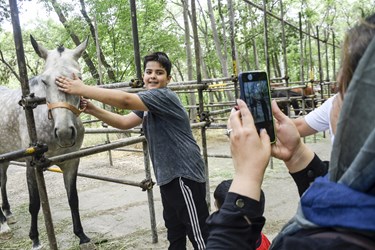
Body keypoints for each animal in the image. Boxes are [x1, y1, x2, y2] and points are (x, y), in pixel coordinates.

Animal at [0, 36, 93, 249]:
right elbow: (35, 203)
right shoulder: (31, 164)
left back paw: (8, 215)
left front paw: (81, 235)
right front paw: (35, 239)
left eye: (79, 78)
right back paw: (3, 225)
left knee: (2, 181)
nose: (65, 133)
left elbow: (73, 198)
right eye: (44, 80)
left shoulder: (71, 161)